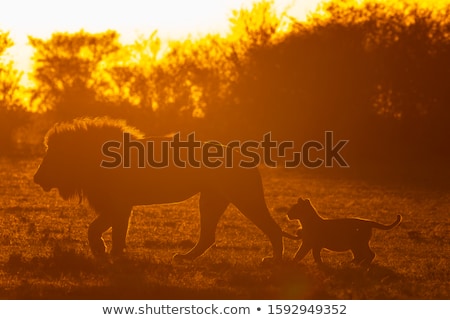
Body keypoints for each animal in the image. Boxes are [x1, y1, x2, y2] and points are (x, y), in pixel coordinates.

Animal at [34, 118, 284, 262]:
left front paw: (107, 253)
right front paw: (108, 252)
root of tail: (248, 158)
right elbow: (104, 230)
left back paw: (275, 261)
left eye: (52, 156)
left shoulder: (120, 203)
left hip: (245, 197)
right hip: (212, 200)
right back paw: (185, 258)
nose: (36, 178)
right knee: (208, 236)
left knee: (274, 228)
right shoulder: (119, 205)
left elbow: (104, 230)